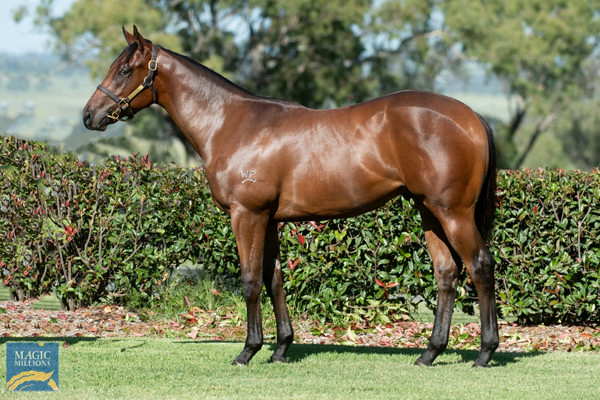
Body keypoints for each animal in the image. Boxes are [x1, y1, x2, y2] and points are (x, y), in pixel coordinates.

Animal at [83, 26, 496, 368]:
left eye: (124, 70)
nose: (89, 115)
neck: (230, 123)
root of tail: (472, 116)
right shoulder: (269, 220)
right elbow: (274, 278)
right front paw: (281, 348)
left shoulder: (247, 215)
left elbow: (250, 279)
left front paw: (248, 351)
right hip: (429, 211)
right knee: (447, 273)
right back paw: (430, 353)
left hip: (453, 213)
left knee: (480, 266)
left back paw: (485, 352)